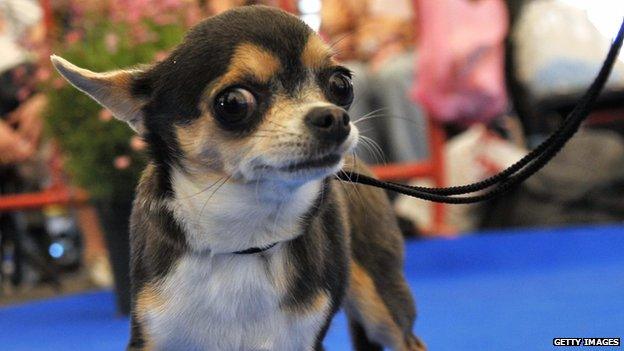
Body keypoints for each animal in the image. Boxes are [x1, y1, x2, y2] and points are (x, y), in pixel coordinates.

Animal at [52, 5, 424, 351]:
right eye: (232, 102)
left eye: (341, 84)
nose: (334, 117)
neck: (245, 241)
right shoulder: (152, 336)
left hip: (380, 302)